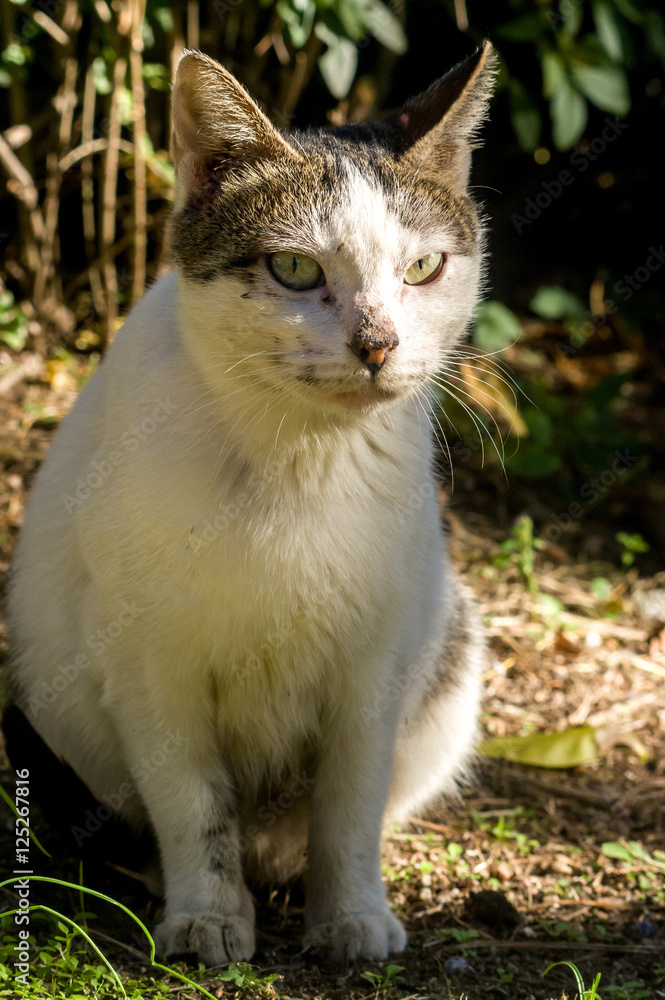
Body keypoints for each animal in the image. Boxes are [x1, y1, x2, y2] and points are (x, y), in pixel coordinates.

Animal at [3, 43, 492, 964]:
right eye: (294, 268)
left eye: (422, 269)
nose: (378, 344)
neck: (294, 456)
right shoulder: (147, 667)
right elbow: (193, 805)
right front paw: (206, 917)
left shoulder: (374, 667)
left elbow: (349, 806)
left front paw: (351, 916)